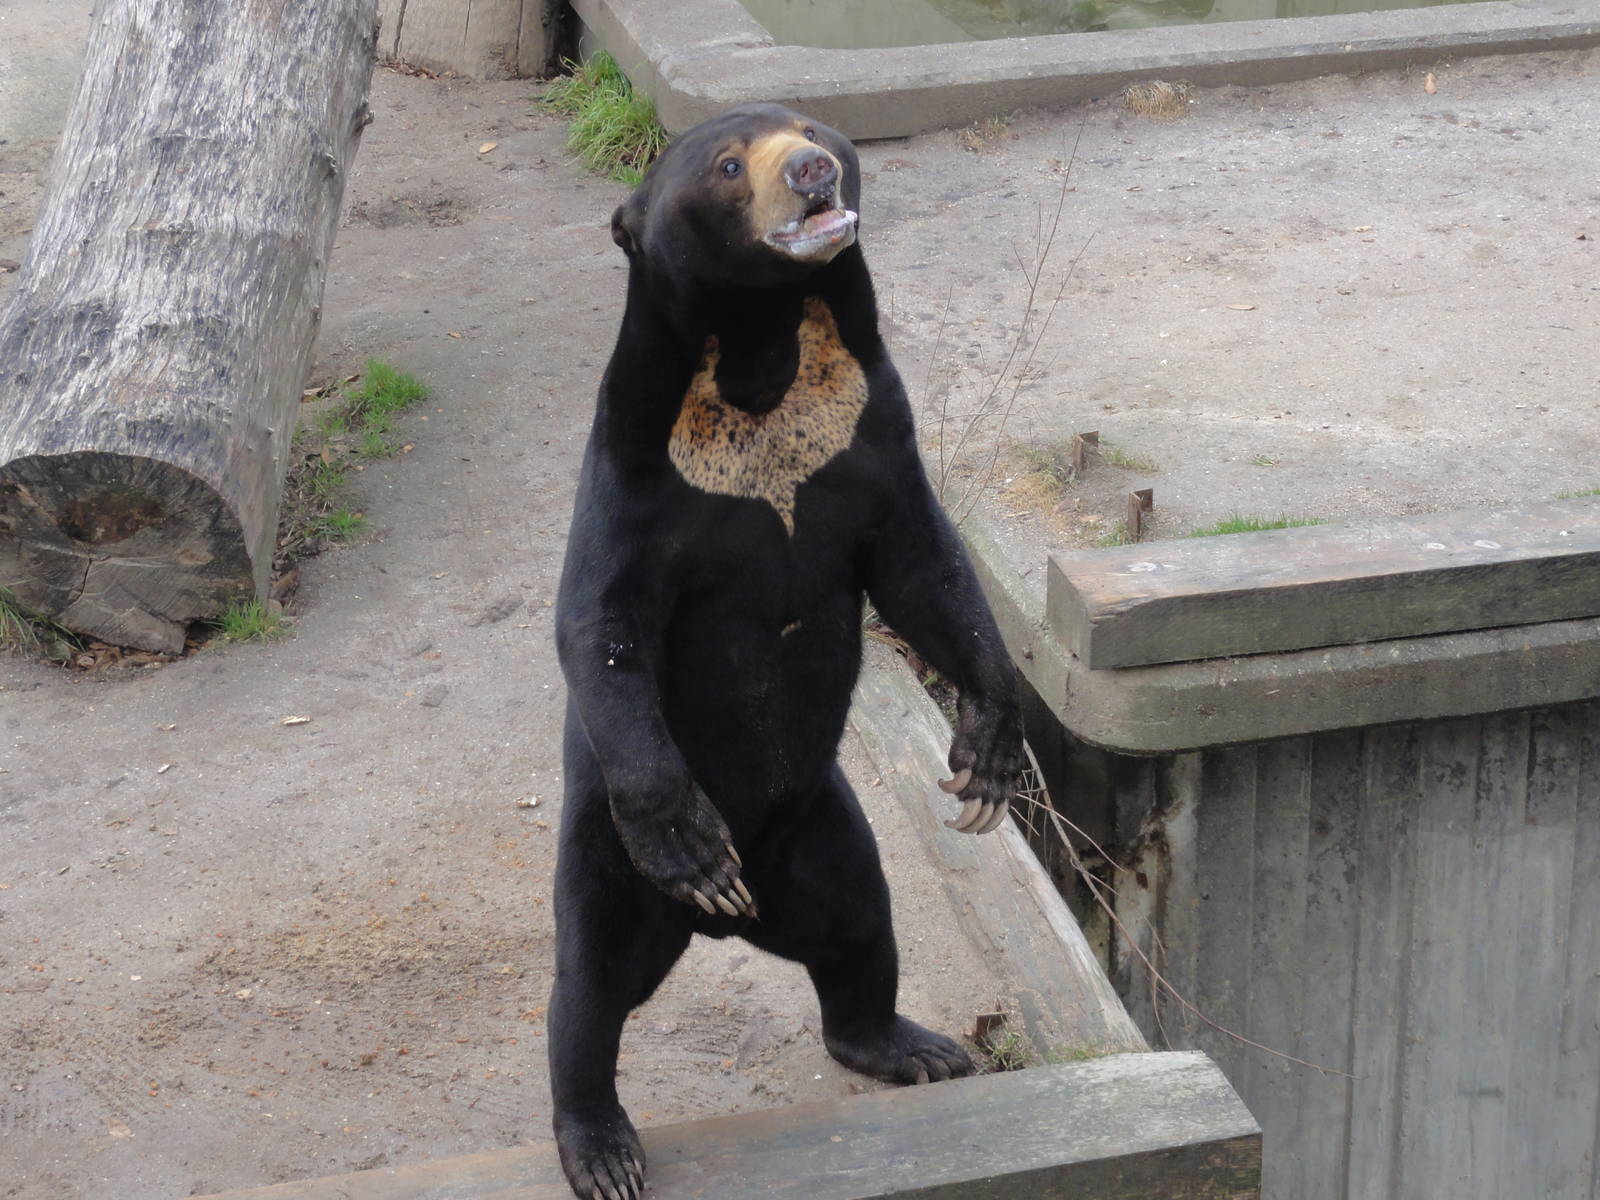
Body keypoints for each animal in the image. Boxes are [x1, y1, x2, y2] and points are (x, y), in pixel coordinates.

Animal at [549, 103, 1025, 1200]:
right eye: (729, 167)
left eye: (814, 130)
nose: (811, 173)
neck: (762, 354)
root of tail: (724, 927)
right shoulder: (639, 462)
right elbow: (598, 620)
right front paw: (690, 841)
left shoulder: (868, 430)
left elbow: (925, 572)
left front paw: (983, 764)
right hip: (603, 855)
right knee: (586, 992)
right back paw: (603, 1147)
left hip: (823, 829)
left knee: (859, 928)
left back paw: (911, 1046)